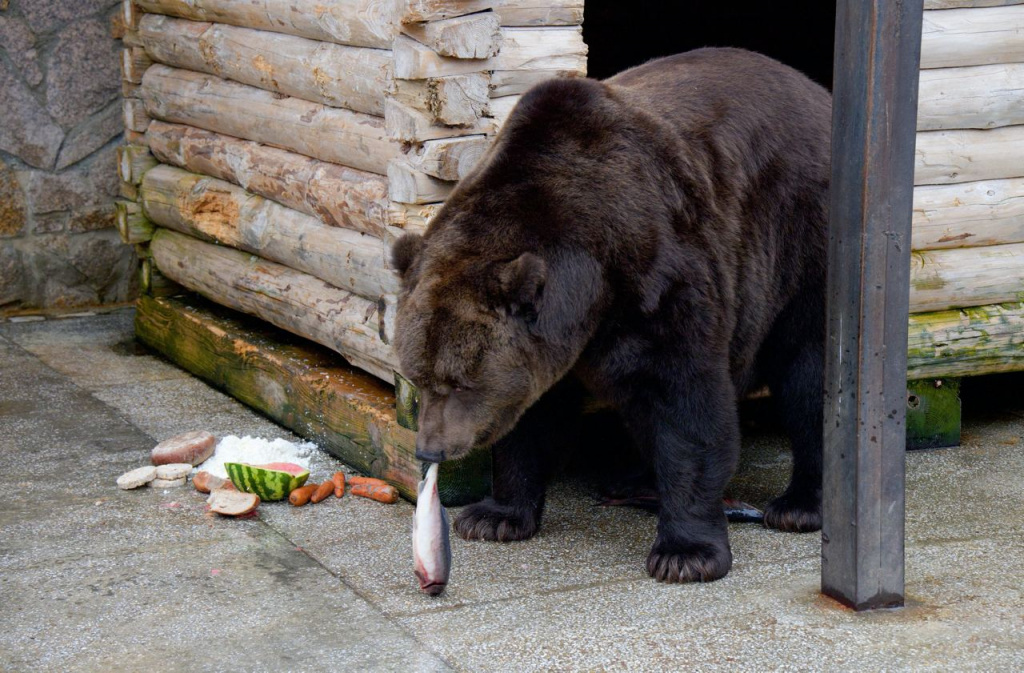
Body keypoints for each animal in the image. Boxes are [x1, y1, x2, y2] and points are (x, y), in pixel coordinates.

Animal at [391, 48, 831, 581]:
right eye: (418, 377)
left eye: (459, 383)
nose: (430, 448)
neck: (591, 287)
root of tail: (819, 92)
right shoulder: (555, 343)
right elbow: (532, 417)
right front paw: (496, 515)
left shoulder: (663, 277)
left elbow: (686, 404)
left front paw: (686, 553)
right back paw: (631, 478)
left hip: (801, 243)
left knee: (808, 375)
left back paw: (798, 505)